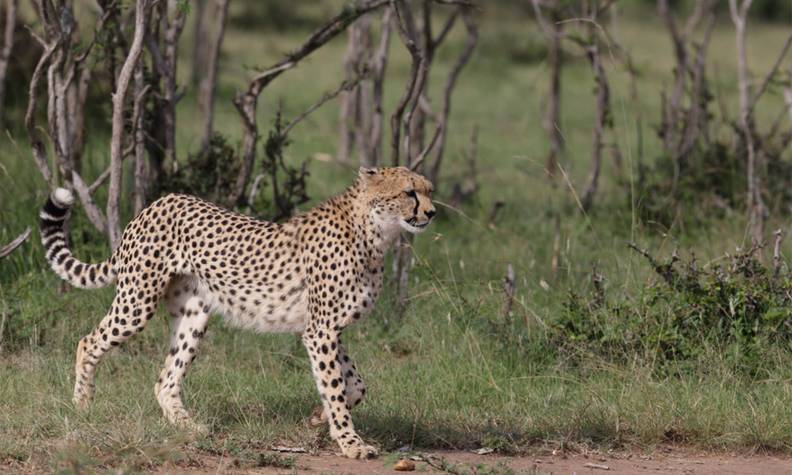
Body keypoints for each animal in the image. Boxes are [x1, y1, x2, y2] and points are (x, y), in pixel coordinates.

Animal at [40, 168, 436, 462]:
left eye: (429, 190)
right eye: (409, 192)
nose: (431, 212)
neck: (373, 231)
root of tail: (159, 202)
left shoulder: (325, 329)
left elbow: (353, 385)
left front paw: (316, 419)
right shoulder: (321, 330)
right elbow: (337, 388)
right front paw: (350, 443)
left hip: (193, 316)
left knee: (165, 379)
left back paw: (188, 427)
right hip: (137, 301)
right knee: (88, 341)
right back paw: (83, 406)